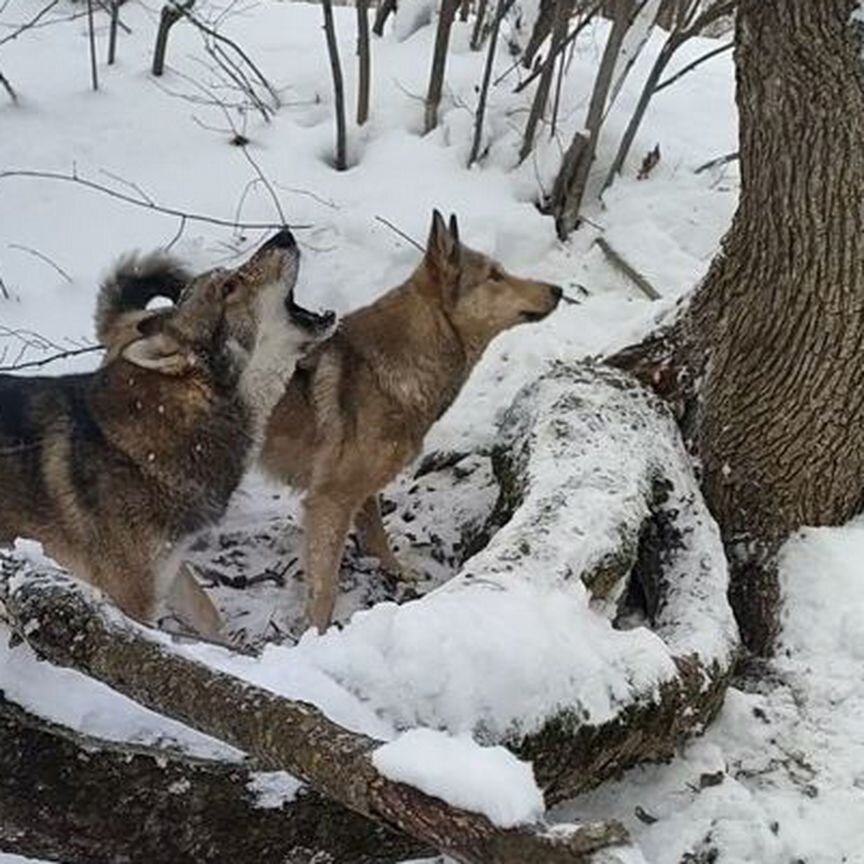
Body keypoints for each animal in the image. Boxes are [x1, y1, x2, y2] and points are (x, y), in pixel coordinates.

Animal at [98, 214, 564, 636]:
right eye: (496, 276)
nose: (559, 290)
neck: (404, 360)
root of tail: (130, 323)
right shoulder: (329, 502)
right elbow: (325, 586)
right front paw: (315, 635)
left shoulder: (360, 491)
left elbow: (376, 536)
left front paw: (395, 571)